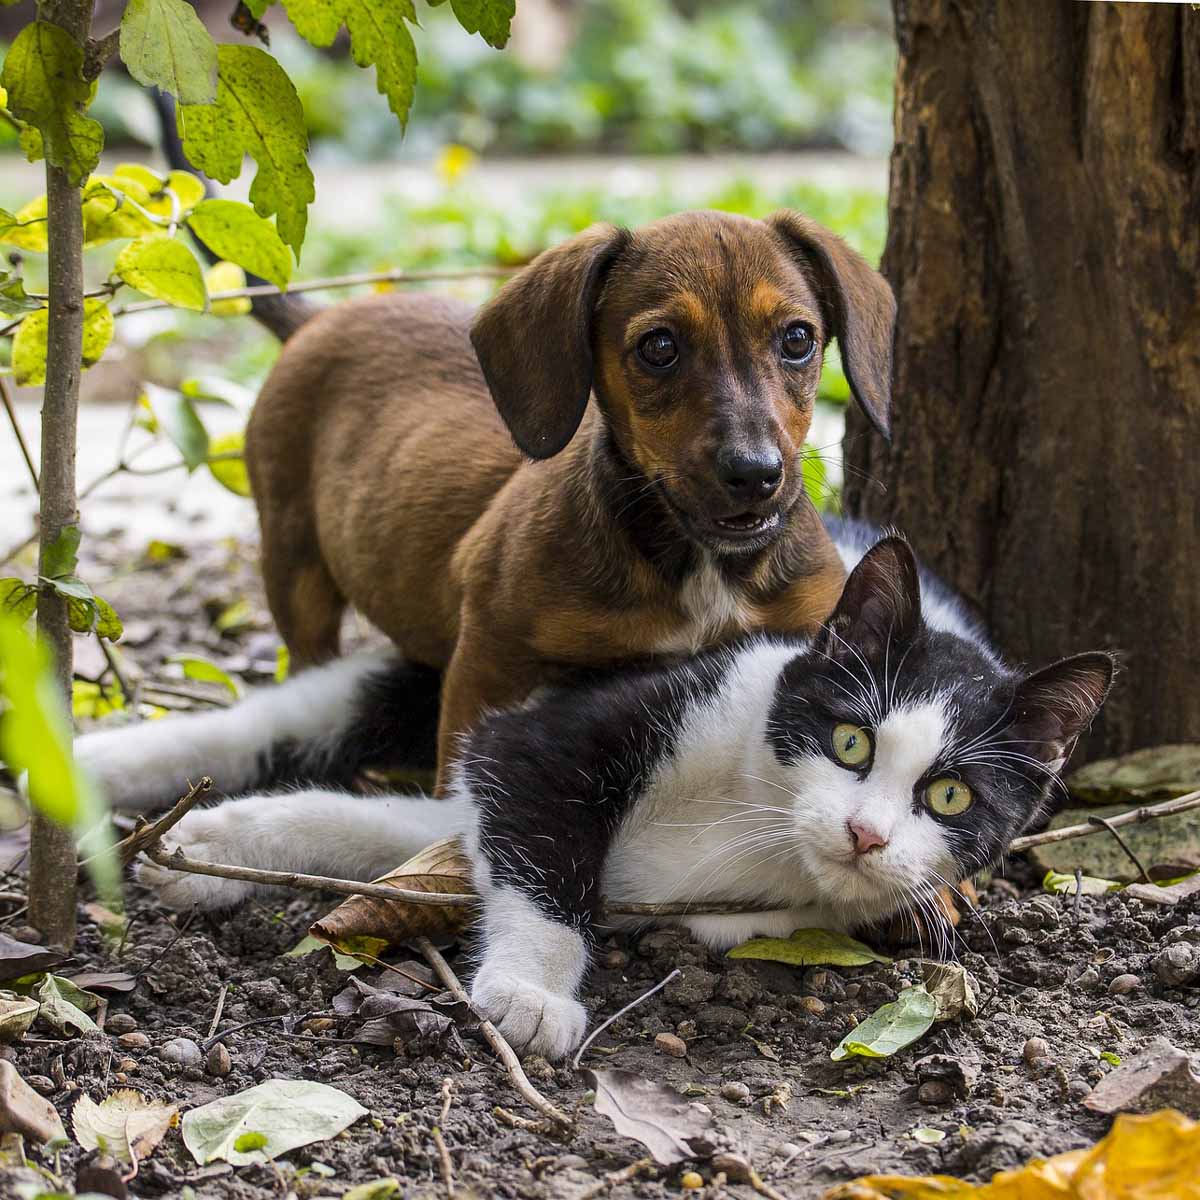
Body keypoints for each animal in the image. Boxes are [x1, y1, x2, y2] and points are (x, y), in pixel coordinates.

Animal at [77, 525, 1113, 1060]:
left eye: (950, 799)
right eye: (850, 740)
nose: (864, 834)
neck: (759, 819)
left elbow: (404, 832)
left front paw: (220, 850)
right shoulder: (562, 730)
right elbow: (541, 845)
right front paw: (533, 993)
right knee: (281, 719)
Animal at [246, 211, 892, 782]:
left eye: (798, 339)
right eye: (659, 347)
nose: (755, 474)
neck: (698, 565)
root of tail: (316, 318)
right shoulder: (489, 658)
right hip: (294, 564)